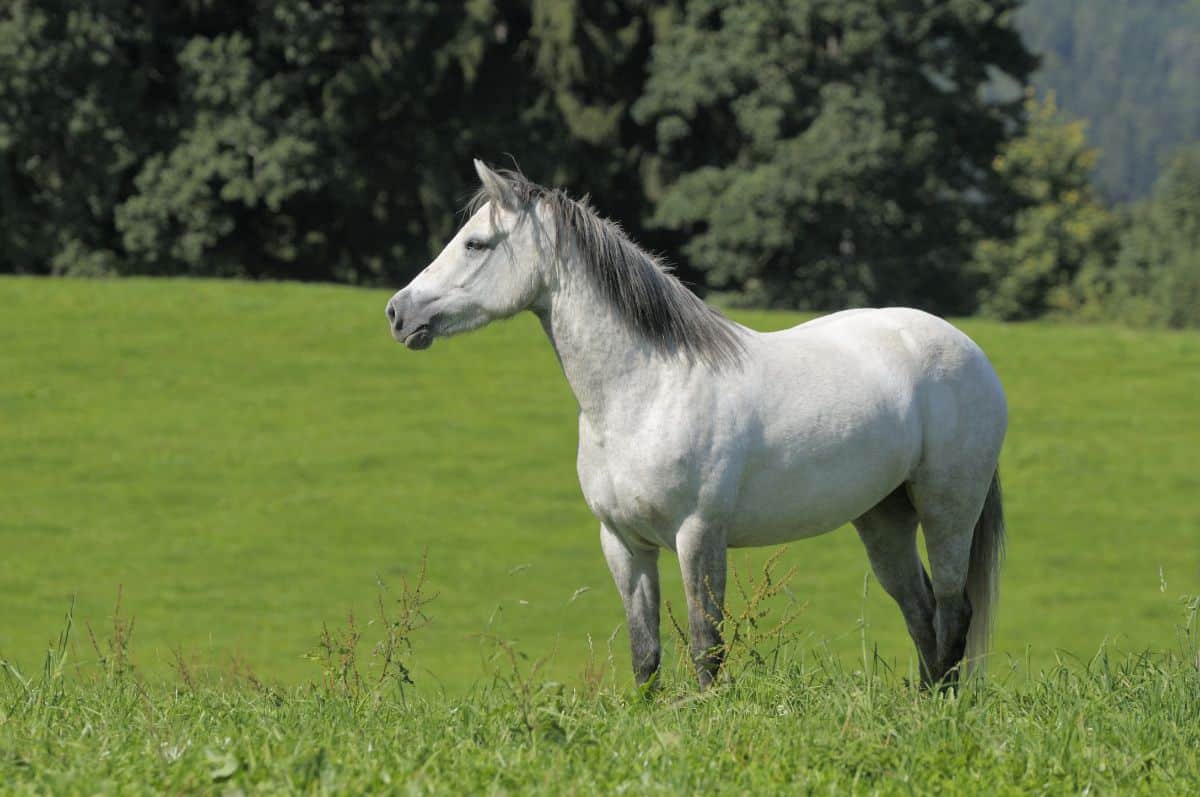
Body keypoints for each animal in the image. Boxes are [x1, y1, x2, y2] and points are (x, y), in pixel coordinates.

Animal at [384, 162, 1003, 691]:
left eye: (475, 243)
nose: (398, 313)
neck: (647, 392)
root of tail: (968, 350)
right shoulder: (624, 544)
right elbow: (645, 654)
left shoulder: (699, 536)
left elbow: (707, 647)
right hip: (883, 518)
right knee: (921, 612)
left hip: (948, 510)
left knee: (954, 610)